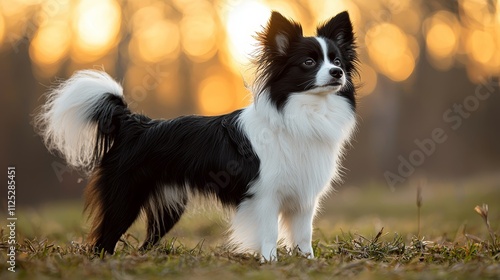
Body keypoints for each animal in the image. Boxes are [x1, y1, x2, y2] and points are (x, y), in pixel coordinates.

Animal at [35, 10, 358, 260]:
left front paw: (307, 263)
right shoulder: (264, 196)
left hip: (168, 208)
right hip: (124, 199)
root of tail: (134, 124)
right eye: (309, 63)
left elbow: (303, 237)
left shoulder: (304, 200)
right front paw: (270, 263)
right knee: (102, 243)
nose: (337, 74)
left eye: (338, 62)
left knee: (142, 244)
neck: (305, 112)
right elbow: (268, 235)